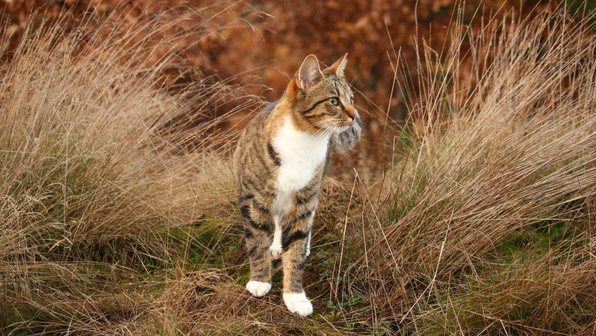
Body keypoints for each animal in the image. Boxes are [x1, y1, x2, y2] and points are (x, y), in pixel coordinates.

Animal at [234, 53, 360, 316]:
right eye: (334, 100)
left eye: (351, 99)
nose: (355, 115)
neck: (306, 140)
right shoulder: (253, 200)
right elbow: (257, 242)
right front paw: (260, 281)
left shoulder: (304, 201)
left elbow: (297, 249)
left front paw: (295, 296)